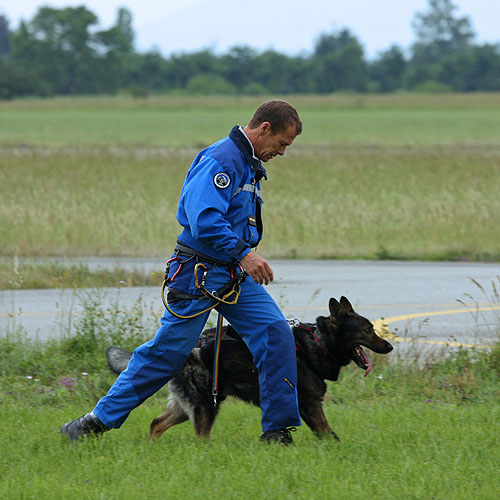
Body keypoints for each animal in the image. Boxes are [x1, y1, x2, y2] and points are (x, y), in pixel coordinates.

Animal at [107, 296, 392, 442]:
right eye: (367, 330)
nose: (389, 346)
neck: (320, 342)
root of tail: (186, 351)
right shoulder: (310, 404)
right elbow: (328, 433)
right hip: (207, 405)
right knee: (200, 437)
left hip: (188, 406)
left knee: (156, 423)